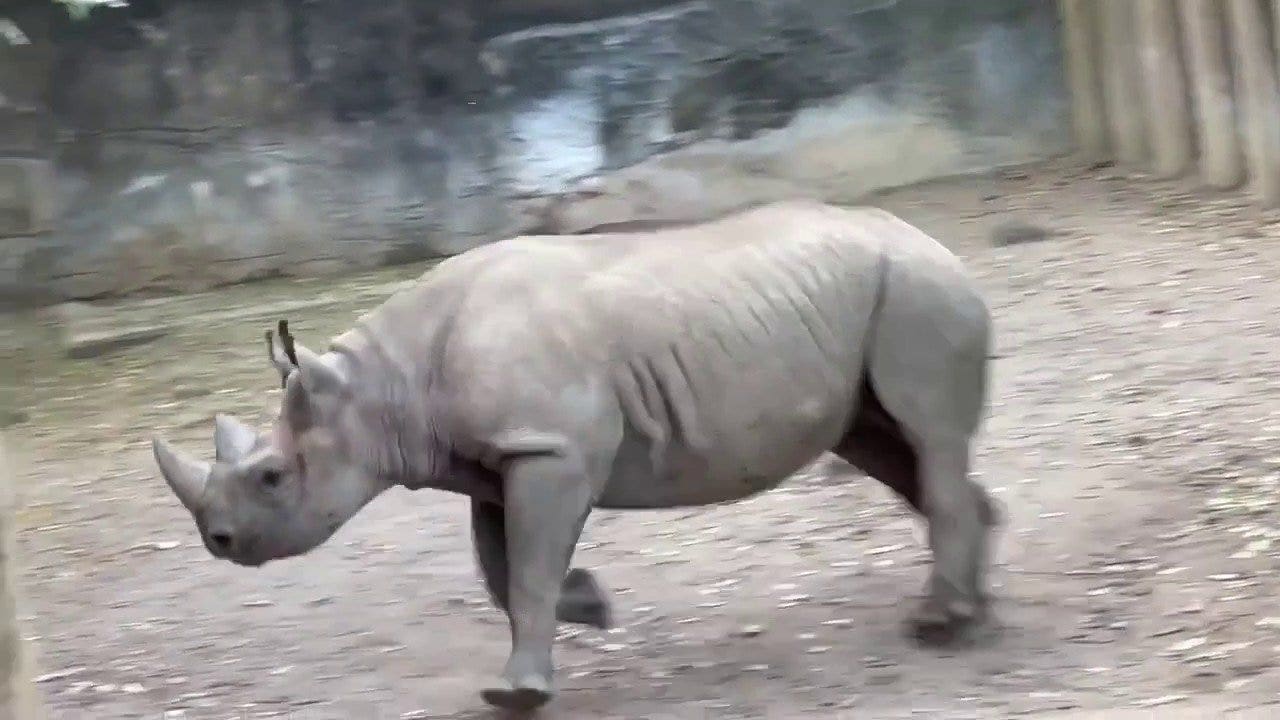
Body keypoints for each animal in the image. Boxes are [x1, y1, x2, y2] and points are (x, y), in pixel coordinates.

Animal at [151, 200, 999, 711]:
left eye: (271, 477)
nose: (217, 540)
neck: (383, 386)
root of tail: (935, 241)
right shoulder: (499, 460)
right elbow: (500, 569)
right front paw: (590, 606)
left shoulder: (546, 450)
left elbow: (525, 570)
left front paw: (517, 694)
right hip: (877, 306)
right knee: (890, 447)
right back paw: (976, 602)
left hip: (915, 294)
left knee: (925, 437)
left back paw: (940, 623)